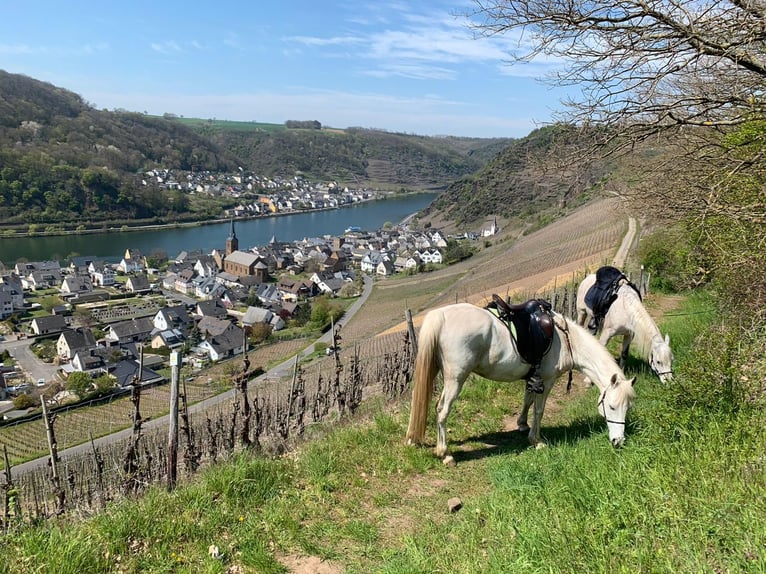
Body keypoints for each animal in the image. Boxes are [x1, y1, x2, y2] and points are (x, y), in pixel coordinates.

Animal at [408, 304, 636, 462]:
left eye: (628, 408)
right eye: (612, 407)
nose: (618, 442)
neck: (566, 340)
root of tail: (441, 316)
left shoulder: (533, 378)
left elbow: (527, 401)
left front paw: (522, 424)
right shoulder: (547, 380)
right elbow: (539, 410)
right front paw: (537, 440)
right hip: (455, 379)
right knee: (442, 410)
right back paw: (445, 453)